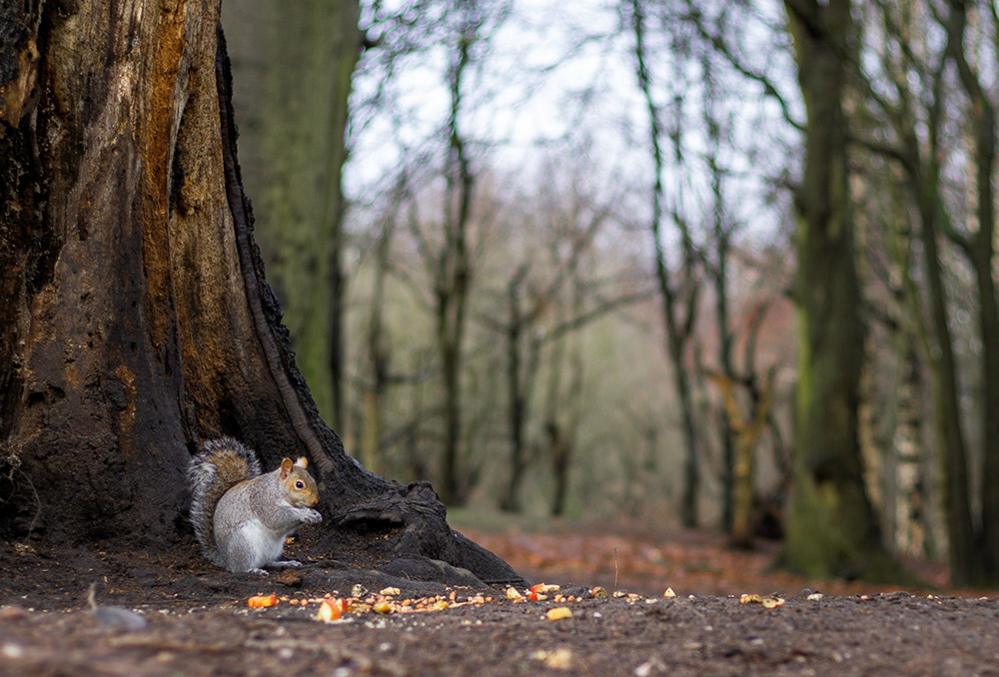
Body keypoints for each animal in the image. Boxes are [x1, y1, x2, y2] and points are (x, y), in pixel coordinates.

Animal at [189, 436, 322, 572]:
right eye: (299, 484)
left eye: (313, 480)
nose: (316, 501)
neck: (277, 489)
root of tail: (226, 559)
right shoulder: (262, 500)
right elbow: (276, 518)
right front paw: (304, 514)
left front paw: (315, 514)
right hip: (244, 545)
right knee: (240, 568)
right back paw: (253, 570)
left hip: (273, 549)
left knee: (267, 562)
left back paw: (285, 563)